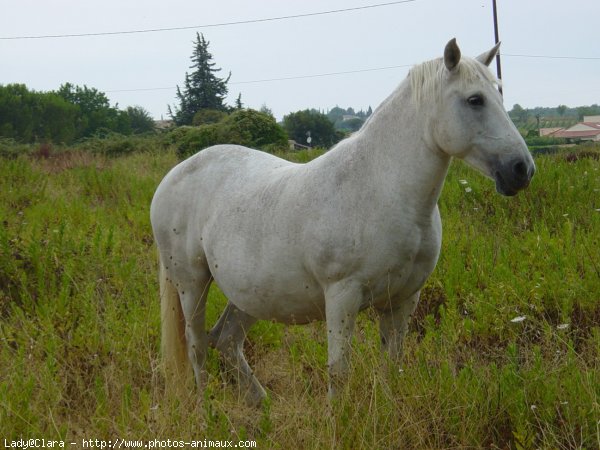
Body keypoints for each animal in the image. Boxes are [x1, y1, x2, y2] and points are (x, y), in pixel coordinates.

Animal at [150, 38, 536, 404]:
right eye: (475, 100)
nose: (521, 169)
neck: (381, 189)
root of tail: (172, 177)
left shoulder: (403, 300)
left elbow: (392, 366)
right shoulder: (342, 297)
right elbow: (339, 372)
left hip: (250, 295)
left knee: (227, 340)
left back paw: (261, 408)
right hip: (192, 283)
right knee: (198, 348)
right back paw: (207, 414)